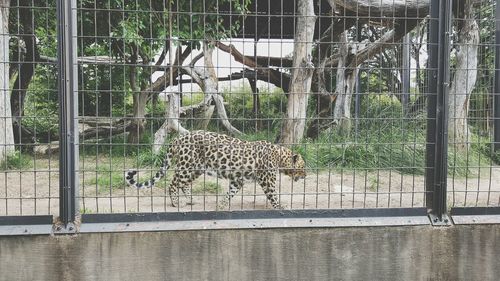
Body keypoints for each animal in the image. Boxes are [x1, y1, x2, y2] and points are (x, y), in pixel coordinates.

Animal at [125, 130, 304, 208]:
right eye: (303, 167)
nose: (306, 175)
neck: (280, 157)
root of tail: (178, 138)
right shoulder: (267, 180)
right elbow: (273, 194)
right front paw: (281, 206)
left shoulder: (237, 180)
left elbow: (230, 193)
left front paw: (222, 205)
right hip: (186, 167)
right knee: (173, 184)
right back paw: (177, 203)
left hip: (196, 169)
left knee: (183, 184)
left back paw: (191, 200)